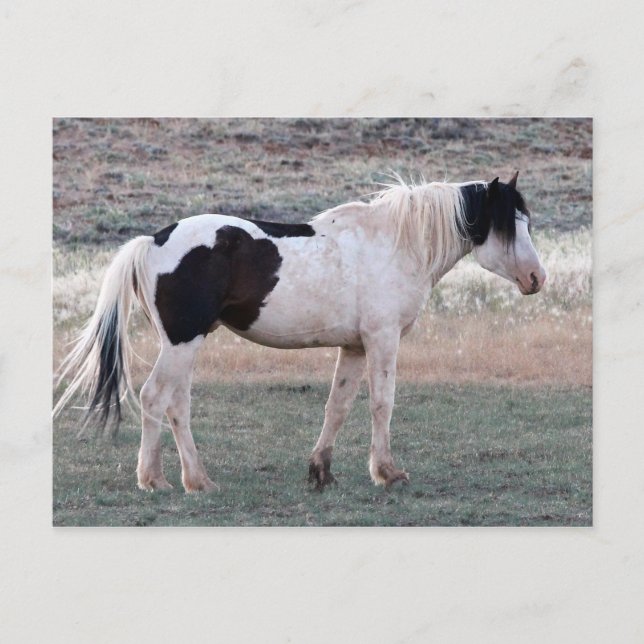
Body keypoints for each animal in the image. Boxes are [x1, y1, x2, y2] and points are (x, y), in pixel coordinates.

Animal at [54, 172, 546, 492]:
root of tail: (152, 241)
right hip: (182, 343)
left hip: (185, 345)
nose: (537, 278)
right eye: (509, 224)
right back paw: (161, 480)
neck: (396, 243)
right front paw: (387, 472)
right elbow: (382, 404)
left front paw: (321, 472)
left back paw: (192, 479)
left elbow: (338, 406)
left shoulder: (354, 346)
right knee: (156, 397)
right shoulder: (383, 339)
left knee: (176, 405)